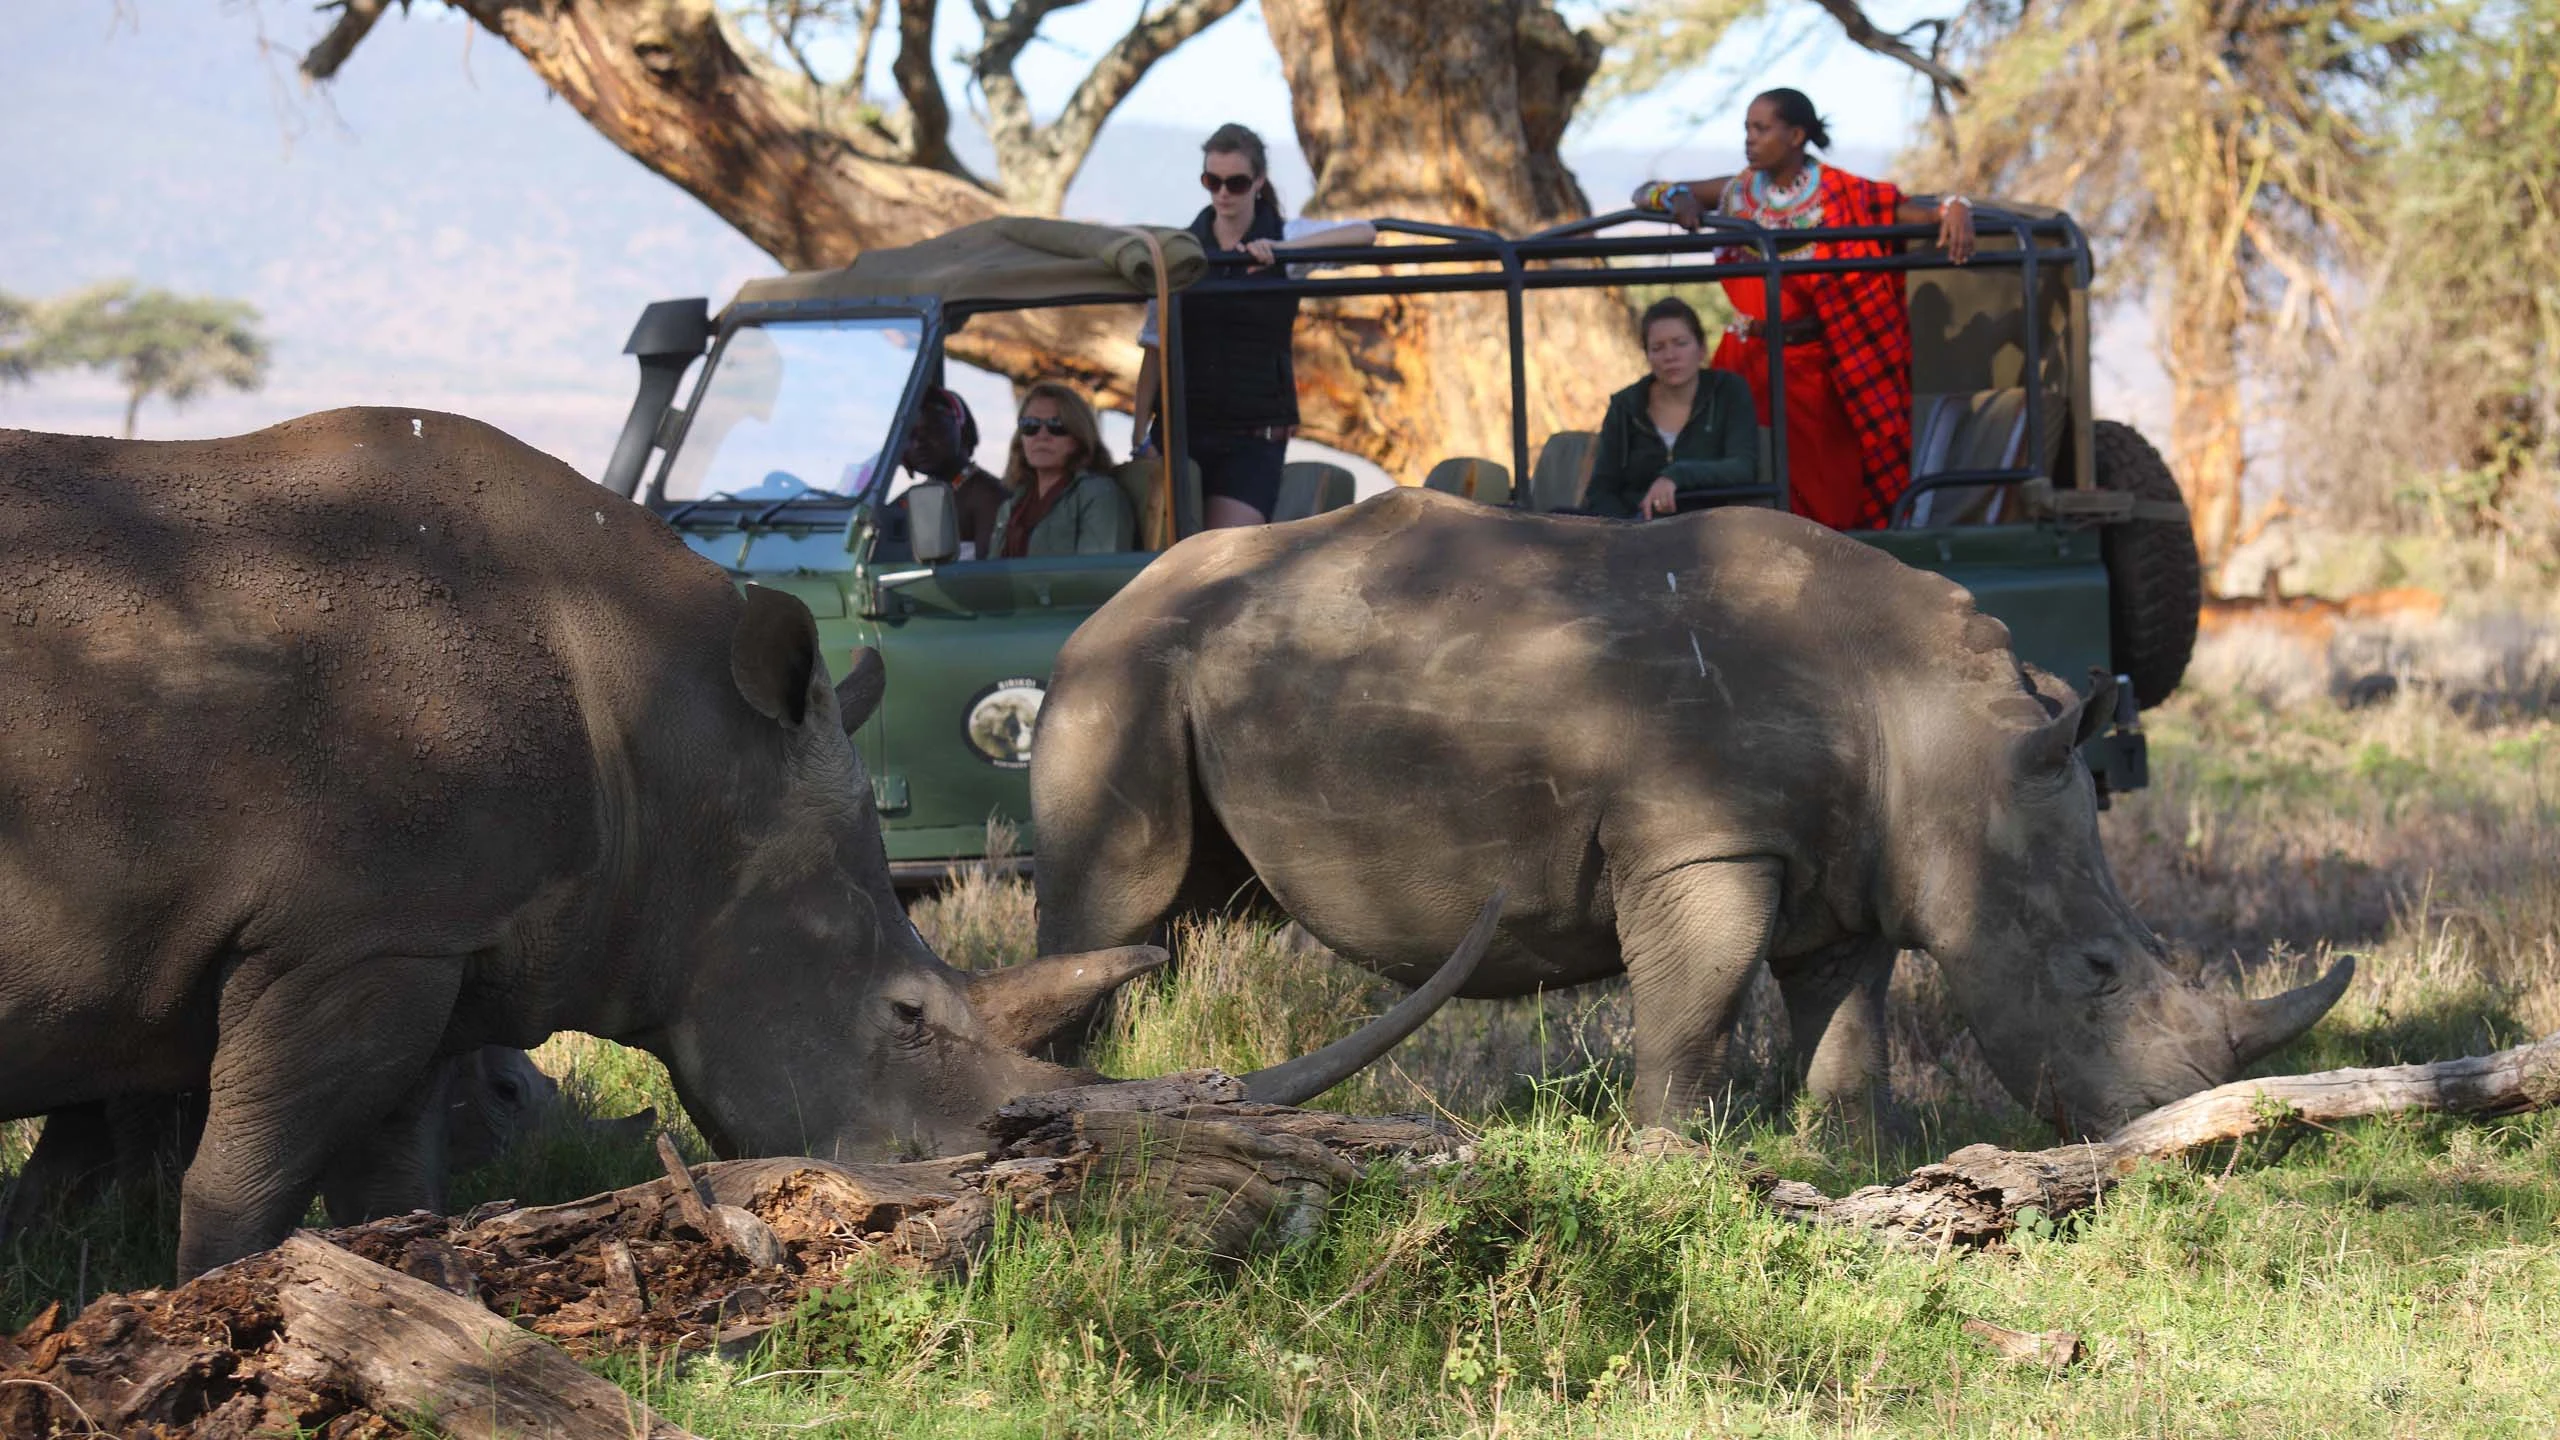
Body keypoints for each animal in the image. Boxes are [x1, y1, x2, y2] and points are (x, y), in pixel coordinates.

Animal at [0, 410, 1479, 1276]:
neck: (675, 755)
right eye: (907, 1019)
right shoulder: (347, 937)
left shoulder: (430, 940)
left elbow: (387, 1181)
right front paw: (220, 1303)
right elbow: (243, 1183)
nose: (995, 1200)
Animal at [1030, 488, 2351, 1134]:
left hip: (1189, 674)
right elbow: (1700, 1000)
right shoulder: (1698, 842)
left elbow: (1847, 1022)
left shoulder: (1857, 864)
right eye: (2093, 974)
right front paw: (1671, 1160)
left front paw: (1849, 1153)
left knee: (1185, 917)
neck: (1948, 743)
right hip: (1116, 678)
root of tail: (1098, 610)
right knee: (1114, 905)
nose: (2188, 1127)